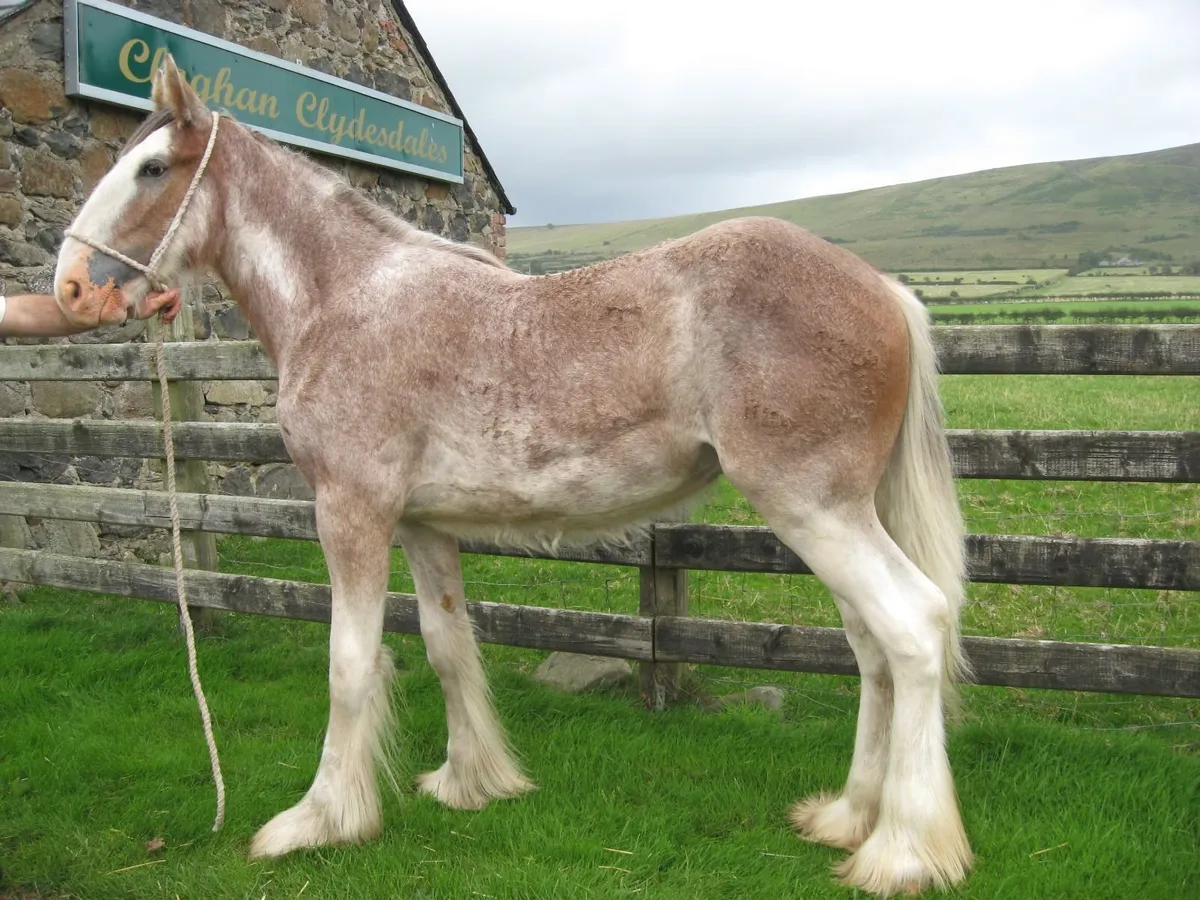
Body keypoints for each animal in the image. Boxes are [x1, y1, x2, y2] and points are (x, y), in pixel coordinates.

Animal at [53, 56, 973, 897]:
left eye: (152, 168)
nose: (69, 287)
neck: (346, 300)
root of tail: (884, 289)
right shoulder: (422, 527)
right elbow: (447, 647)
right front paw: (471, 782)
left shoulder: (349, 512)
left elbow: (351, 664)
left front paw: (319, 820)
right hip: (838, 518)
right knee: (870, 646)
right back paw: (848, 817)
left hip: (815, 511)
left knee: (912, 627)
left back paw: (901, 852)